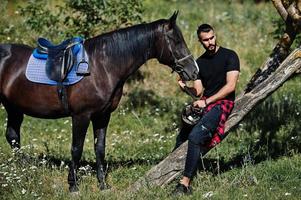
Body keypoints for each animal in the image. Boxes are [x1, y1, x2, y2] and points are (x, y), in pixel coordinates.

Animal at [0, 11, 198, 191]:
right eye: (176, 41)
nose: (194, 71)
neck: (101, 67)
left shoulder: (102, 115)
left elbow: (100, 149)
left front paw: (103, 184)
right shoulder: (81, 116)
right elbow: (77, 148)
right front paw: (73, 185)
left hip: (13, 107)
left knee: (13, 136)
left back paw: (24, 170)